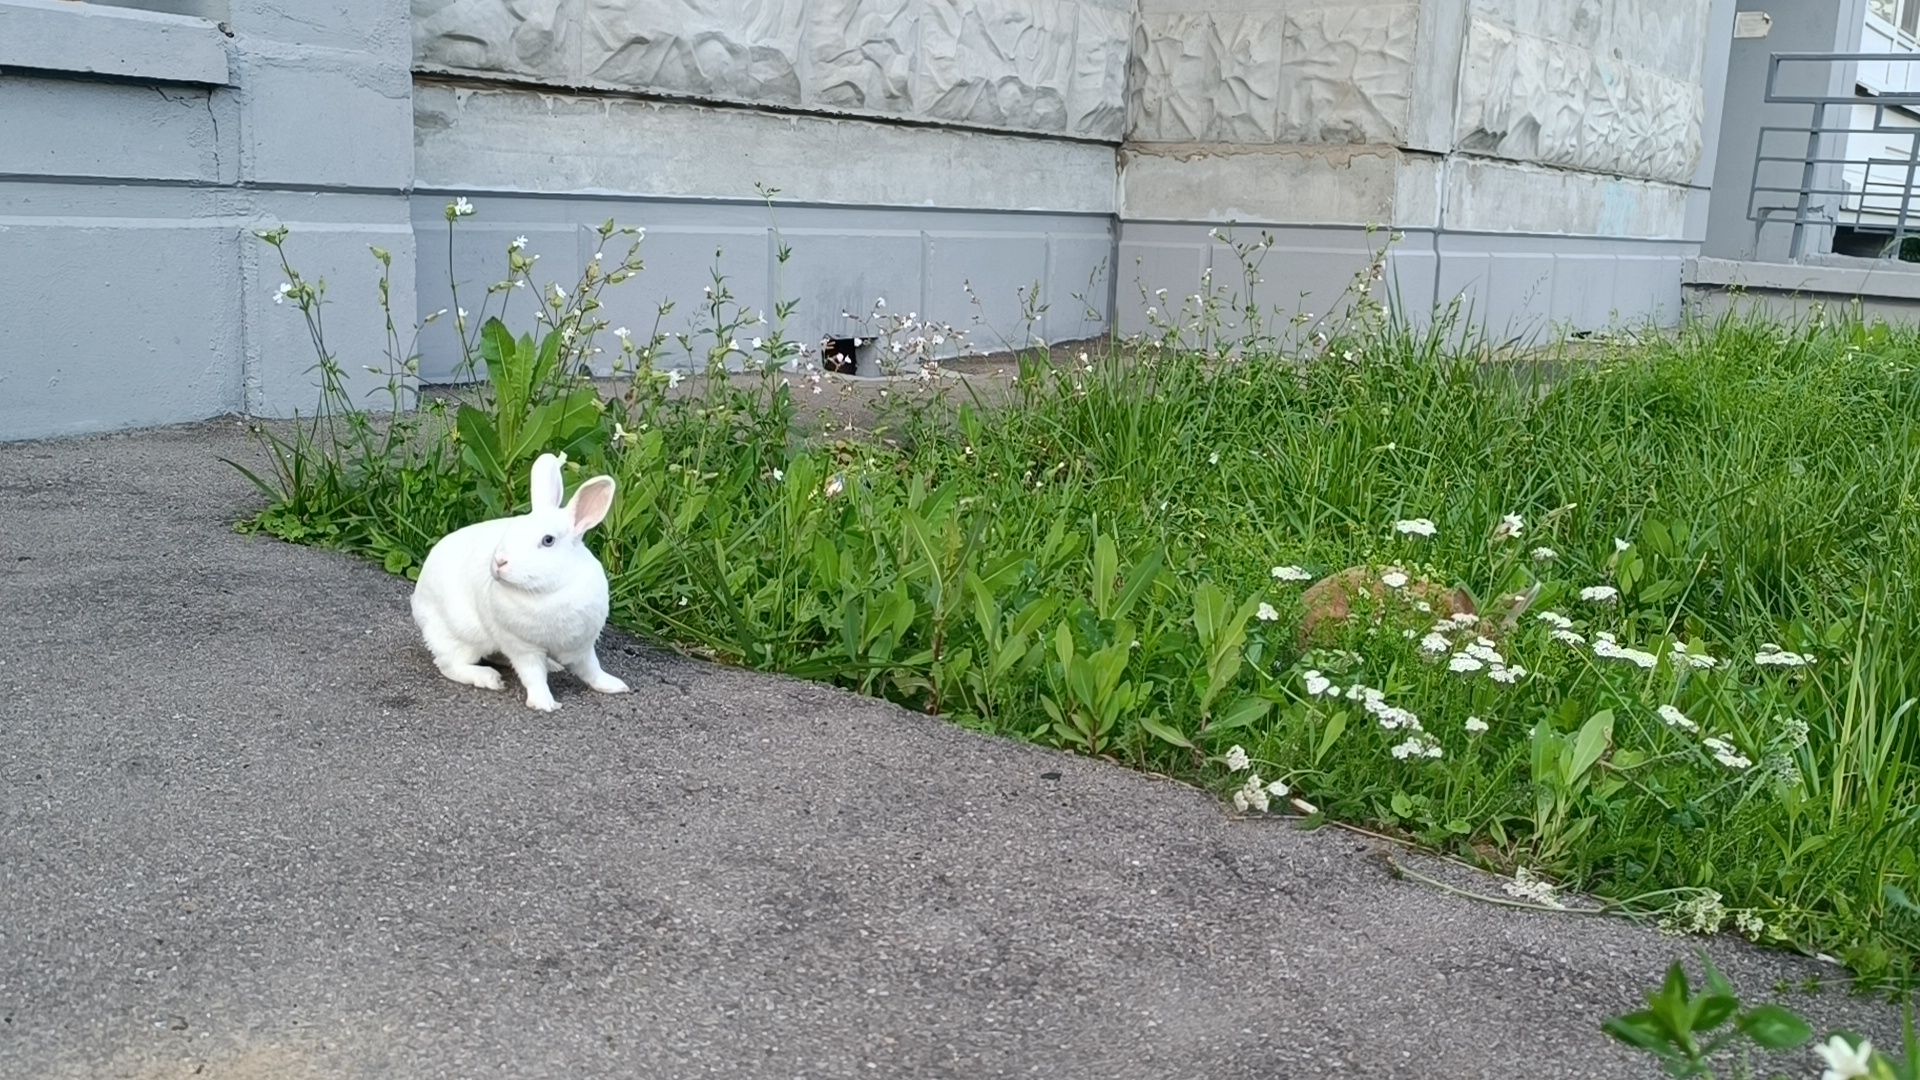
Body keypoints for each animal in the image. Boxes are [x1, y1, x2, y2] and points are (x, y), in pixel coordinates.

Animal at [410, 452, 630, 711]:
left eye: (548, 540)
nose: (499, 562)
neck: (549, 590)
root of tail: (417, 602)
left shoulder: (581, 646)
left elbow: (592, 670)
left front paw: (615, 686)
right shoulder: (523, 648)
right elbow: (533, 676)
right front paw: (544, 704)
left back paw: (552, 666)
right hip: (463, 636)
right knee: (450, 664)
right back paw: (488, 678)